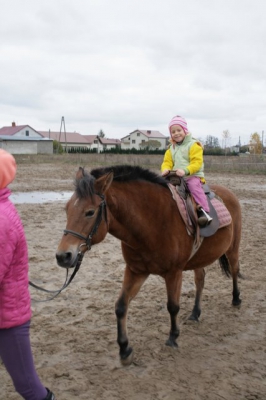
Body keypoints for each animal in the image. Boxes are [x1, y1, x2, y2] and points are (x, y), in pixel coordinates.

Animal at [55, 164, 241, 364]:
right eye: (67, 209)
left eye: (90, 212)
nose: (63, 256)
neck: (153, 224)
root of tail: (227, 192)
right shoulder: (136, 271)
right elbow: (121, 306)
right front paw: (124, 349)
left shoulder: (174, 272)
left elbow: (172, 306)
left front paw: (173, 337)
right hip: (200, 258)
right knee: (200, 280)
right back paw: (195, 313)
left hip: (233, 248)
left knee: (234, 270)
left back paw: (236, 299)